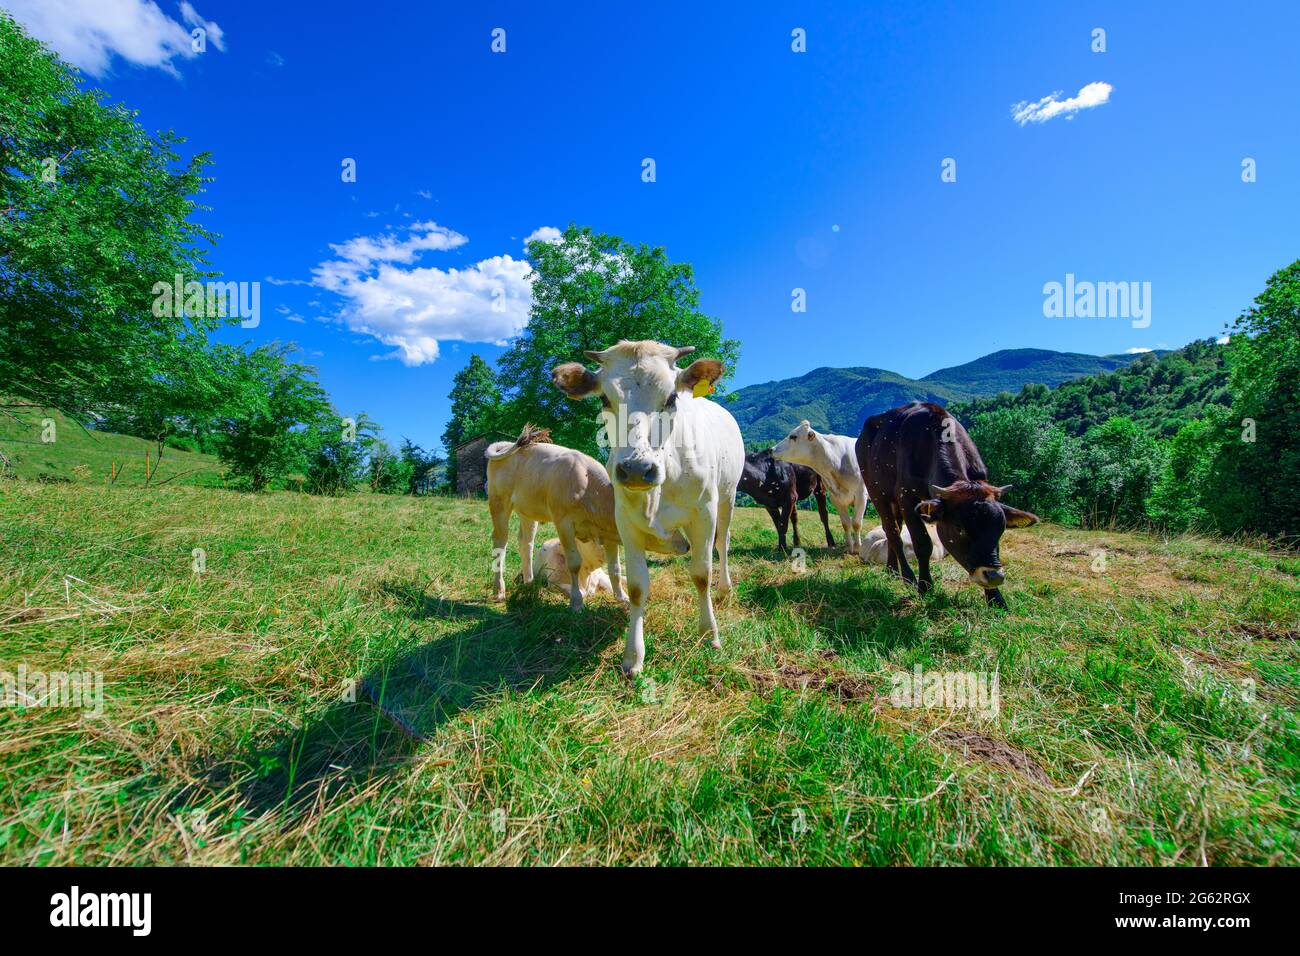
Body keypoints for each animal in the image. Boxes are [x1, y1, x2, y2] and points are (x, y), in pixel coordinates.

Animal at [485, 424, 625, 610]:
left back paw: (530, 584)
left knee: (526, 544)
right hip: (499, 502)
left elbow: (615, 568)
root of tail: (505, 444)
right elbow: (574, 562)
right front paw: (577, 602)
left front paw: (623, 598)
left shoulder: (608, 534)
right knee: (500, 542)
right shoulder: (564, 523)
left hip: (527, 510)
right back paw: (499, 590)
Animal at [551, 340, 744, 676]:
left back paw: (725, 589)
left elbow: (701, 575)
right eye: (604, 398)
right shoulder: (626, 523)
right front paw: (633, 656)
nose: (637, 470)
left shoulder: (704, 514)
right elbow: (638, 588)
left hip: (728, 496)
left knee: (722, 544)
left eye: (671, 398)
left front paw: (709, 633)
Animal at [771, 420, 869, 555]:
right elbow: (845, 523)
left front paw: (858, 548)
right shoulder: (836, 498)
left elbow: (856, 523)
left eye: (793, 436)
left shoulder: (861, 495)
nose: (772, 449)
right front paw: (849, 547)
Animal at [855, 401, 1038, 608]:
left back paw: (892, 569)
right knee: (892, 532)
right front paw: (924, 586)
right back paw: (907, 577)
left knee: (894, 528)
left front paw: (996, 598)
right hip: (878, 492)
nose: (993, 576)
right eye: (959, 528)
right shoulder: (906, 497)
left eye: (1001, 528)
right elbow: (922, 543)